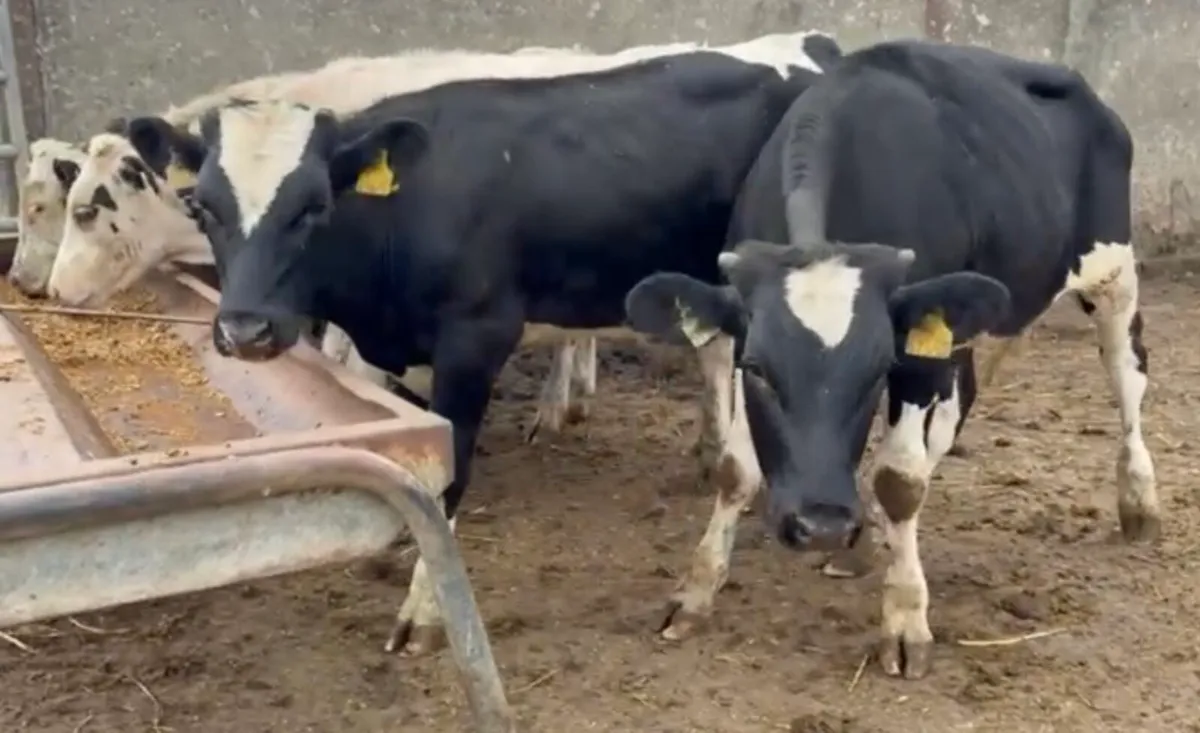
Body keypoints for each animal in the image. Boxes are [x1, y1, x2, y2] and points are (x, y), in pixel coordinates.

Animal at [114, 31, 841, 655]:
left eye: (314, 205)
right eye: (202, 207)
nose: (245, 330)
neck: (405, 212)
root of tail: (810, 48)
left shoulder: (476, 338)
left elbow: (450, 478)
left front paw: (424, 613)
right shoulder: (371, 350)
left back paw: (704, 586)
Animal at [622, 38, 1159, 679]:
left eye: (878, 368)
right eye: (760, 370)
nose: (822, 526)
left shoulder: (916, 358)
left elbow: (899, 481)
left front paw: (905, 623)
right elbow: (735, 469)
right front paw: (695, 593)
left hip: (1113, 272)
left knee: (1127, 372)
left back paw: (1139, 499)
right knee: (957, 409)